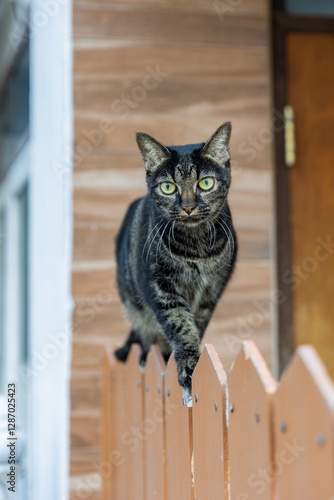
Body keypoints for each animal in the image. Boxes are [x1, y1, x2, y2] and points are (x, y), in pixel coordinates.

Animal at [115, 122, 237, 398]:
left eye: (205, 183)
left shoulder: (211, 292)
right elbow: (180, 325)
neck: (196, 249)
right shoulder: (160, 288)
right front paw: (188, 365)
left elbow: (196, 325)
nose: (189, 206)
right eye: (168, 187)